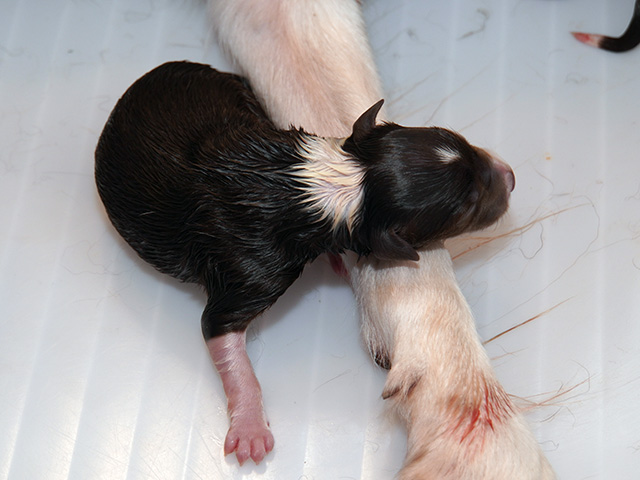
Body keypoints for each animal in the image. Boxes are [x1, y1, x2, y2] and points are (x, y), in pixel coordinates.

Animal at [94, 60, 515, 467]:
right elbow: (222, 335)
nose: (510, 176)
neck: (340, 184)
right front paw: (250, 427)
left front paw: (339, 258)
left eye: (463, 142)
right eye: (466, 206)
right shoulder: (252, 271)